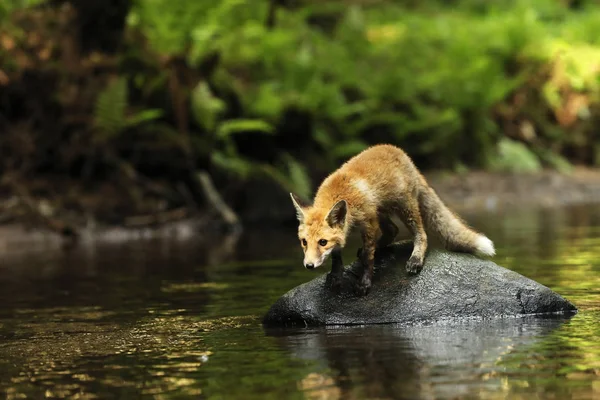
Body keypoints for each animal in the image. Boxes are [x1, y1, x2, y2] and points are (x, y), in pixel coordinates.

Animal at [290, 142, 492, 296]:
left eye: (322, 242)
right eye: (304, 242)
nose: (308, 265)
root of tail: (402, 153)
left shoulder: (369, 223)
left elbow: (368, 258)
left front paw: (364, 282)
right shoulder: (350, 230)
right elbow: (337, 257)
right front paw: (336, 275)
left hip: (405, 208)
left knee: (421, 234)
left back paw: (415, 258)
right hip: (382, 211)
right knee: (393, 231)